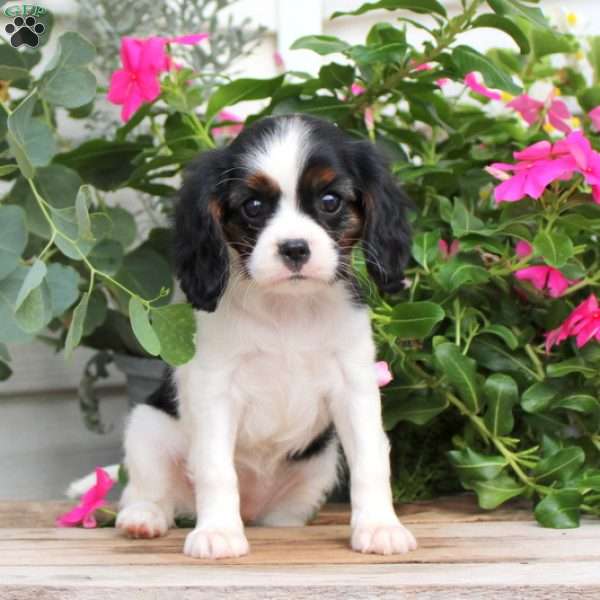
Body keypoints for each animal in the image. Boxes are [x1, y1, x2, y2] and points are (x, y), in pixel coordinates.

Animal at [117, 113, 418, 556]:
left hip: (312, 475)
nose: (294, 248)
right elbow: (215, 467)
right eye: (253, 207)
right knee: (149, 492)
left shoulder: (355, 387)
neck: (287, 308)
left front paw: (380, 526)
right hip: (147, 428)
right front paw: (218, 532)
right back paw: (144, 519)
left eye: (330, 201)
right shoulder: (214, 390)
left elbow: (370, 459)